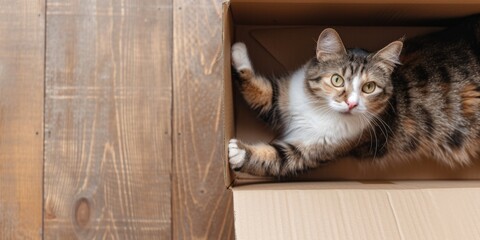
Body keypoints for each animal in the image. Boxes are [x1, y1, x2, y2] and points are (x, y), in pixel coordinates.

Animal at [228, 15, 480, 176]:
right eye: (337, 80)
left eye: (369, 87)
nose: (351, 103)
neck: (319, 110)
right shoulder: (286, 98)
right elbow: (263, 93)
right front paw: (237, 51)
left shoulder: (314, 151)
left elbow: (275, 158)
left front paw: (237, 152)